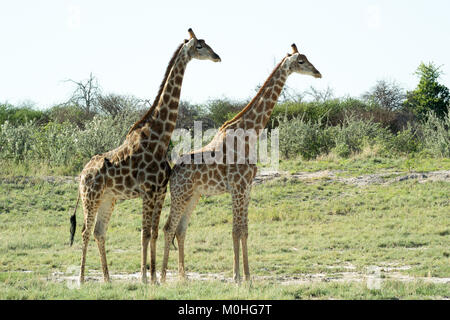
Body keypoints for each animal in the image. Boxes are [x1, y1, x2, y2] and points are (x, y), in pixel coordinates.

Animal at [70, 28, 221, 282]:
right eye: (200, 46)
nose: (217, 56)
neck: (160, 138)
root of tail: (81, 174)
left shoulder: (159, 192)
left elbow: (154, 233)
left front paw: (153, 278)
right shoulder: (147, 191)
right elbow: (144, 233)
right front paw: (144, 278)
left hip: (108, 199)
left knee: (100, 232)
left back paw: (108, 279)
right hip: (90, 197)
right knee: (85, 231)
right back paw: (81, 280)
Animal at [161, 43, 320, 282]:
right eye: (301, 61)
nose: (318, 73)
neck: (250, 132)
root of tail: (172, 173)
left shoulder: (247, 187)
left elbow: (244, 230)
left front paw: (248, 277)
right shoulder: (237, 186)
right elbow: (235, 230)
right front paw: (236, 277)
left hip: (193, 195)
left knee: (180, 229)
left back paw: (183, 277)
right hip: (180, 194)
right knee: (168, 227)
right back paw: (161, 278)